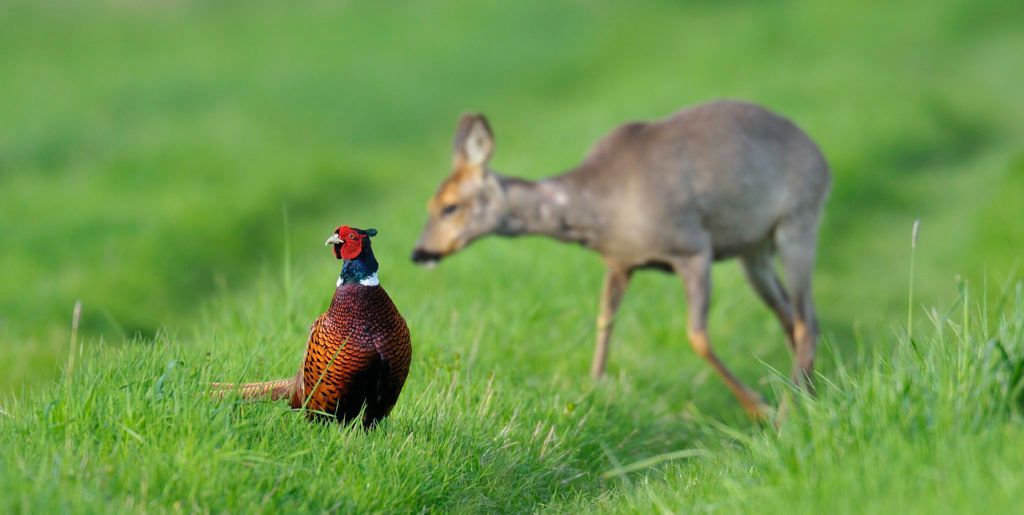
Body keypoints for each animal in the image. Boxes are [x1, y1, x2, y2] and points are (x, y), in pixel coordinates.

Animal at [411, 100, 831, 418]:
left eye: (449, 206)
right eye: (429, 204)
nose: (420, 252)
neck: (602, 207)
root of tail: (822, 158)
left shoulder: (692, 248)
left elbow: (696, 335)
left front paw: (758, 408)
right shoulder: (618, 262)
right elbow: (604, 320)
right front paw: (593, 388)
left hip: (799, 220)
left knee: (807, 320)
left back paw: (790, 409)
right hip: (753, 249)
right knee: (790, 318)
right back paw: (809, 396)